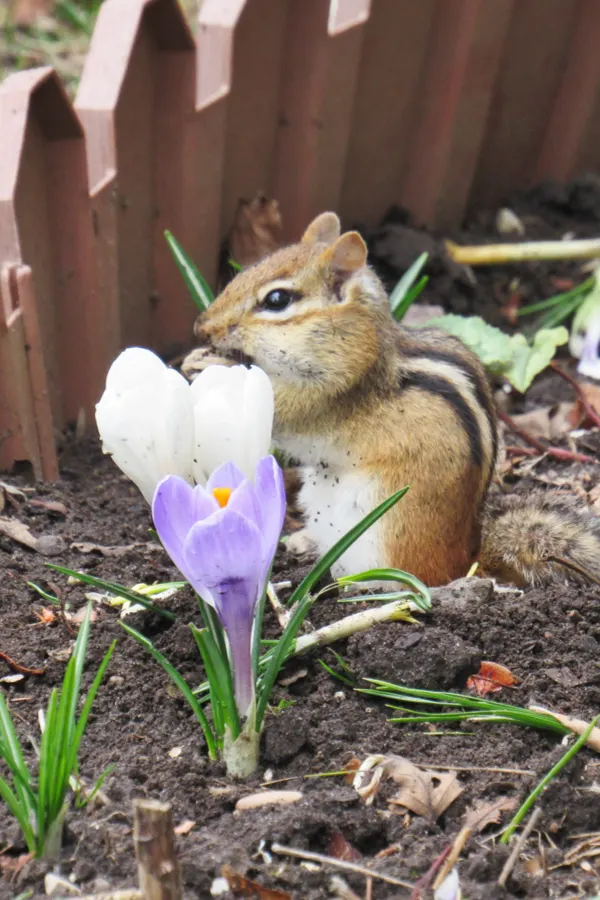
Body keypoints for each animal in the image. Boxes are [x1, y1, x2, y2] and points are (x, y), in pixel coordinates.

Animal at [184, 212, 600, 588]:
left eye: (276, 299)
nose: (202, 327)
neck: (358, 341)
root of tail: (467, 560)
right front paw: (193, 357)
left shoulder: (328, 395)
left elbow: (284, 407)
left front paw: (211, 363)